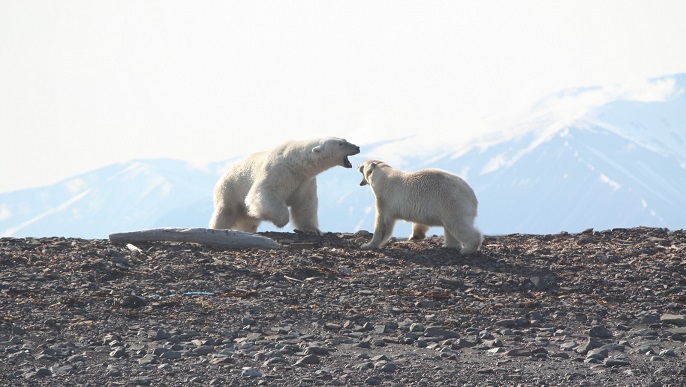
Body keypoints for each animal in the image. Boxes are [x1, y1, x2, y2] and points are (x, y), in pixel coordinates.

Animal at [208, 139, 360, 236]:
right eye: (341, 143)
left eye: (344, 139)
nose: (357, 147)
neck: (297, 163)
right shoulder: (278, 171)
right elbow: (263, 193)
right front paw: (280, 221)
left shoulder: (305, 181)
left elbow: (305, 204)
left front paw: (312, 230)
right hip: (229, 188)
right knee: (225, 212)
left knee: (247, 221)